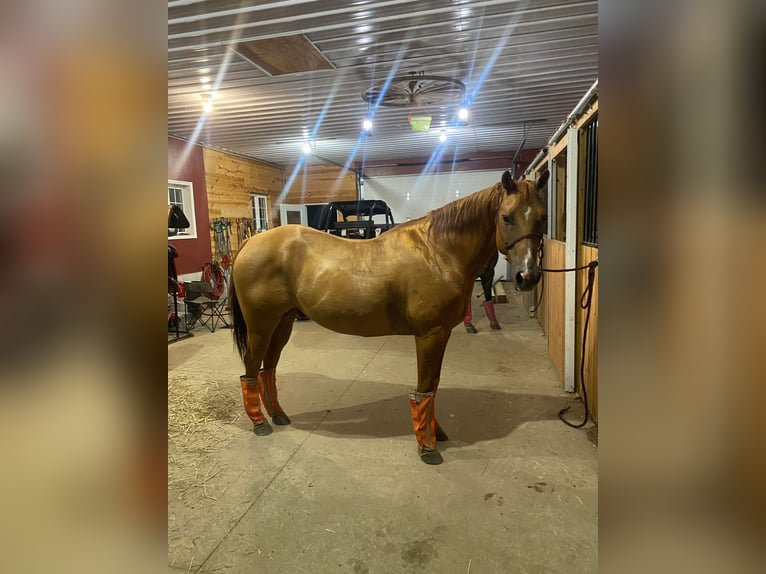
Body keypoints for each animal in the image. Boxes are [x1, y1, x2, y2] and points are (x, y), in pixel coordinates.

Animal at [228, 169, 552, 466]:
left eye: (542, 217)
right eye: (507, 217)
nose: (527, 277)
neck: (439, 252)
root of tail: (250, 243)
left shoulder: (442, 333)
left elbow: (433, 385)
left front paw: (436, 434)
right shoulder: (429, 334)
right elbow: (424, 388)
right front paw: (428, 448)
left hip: (282, 322)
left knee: (267, 370)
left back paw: (279, 415)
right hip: (261, 325)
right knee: (250, 370)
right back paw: (260, 424)